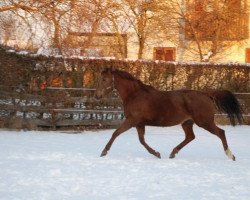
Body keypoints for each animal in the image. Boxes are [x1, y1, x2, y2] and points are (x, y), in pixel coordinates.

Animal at [94, 68, 243, 160]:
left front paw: (104, 151)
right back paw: (172, 153)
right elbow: (142, 141)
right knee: (190, 137)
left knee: (221, 132)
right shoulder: (139, 124)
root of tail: (206, 94)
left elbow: (116, 133)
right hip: (187, 122)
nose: (97, 96)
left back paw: (231, 155)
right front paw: (156, 153)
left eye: (104, 79)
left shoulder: (132, 120)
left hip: (204, 122)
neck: (134, 95)